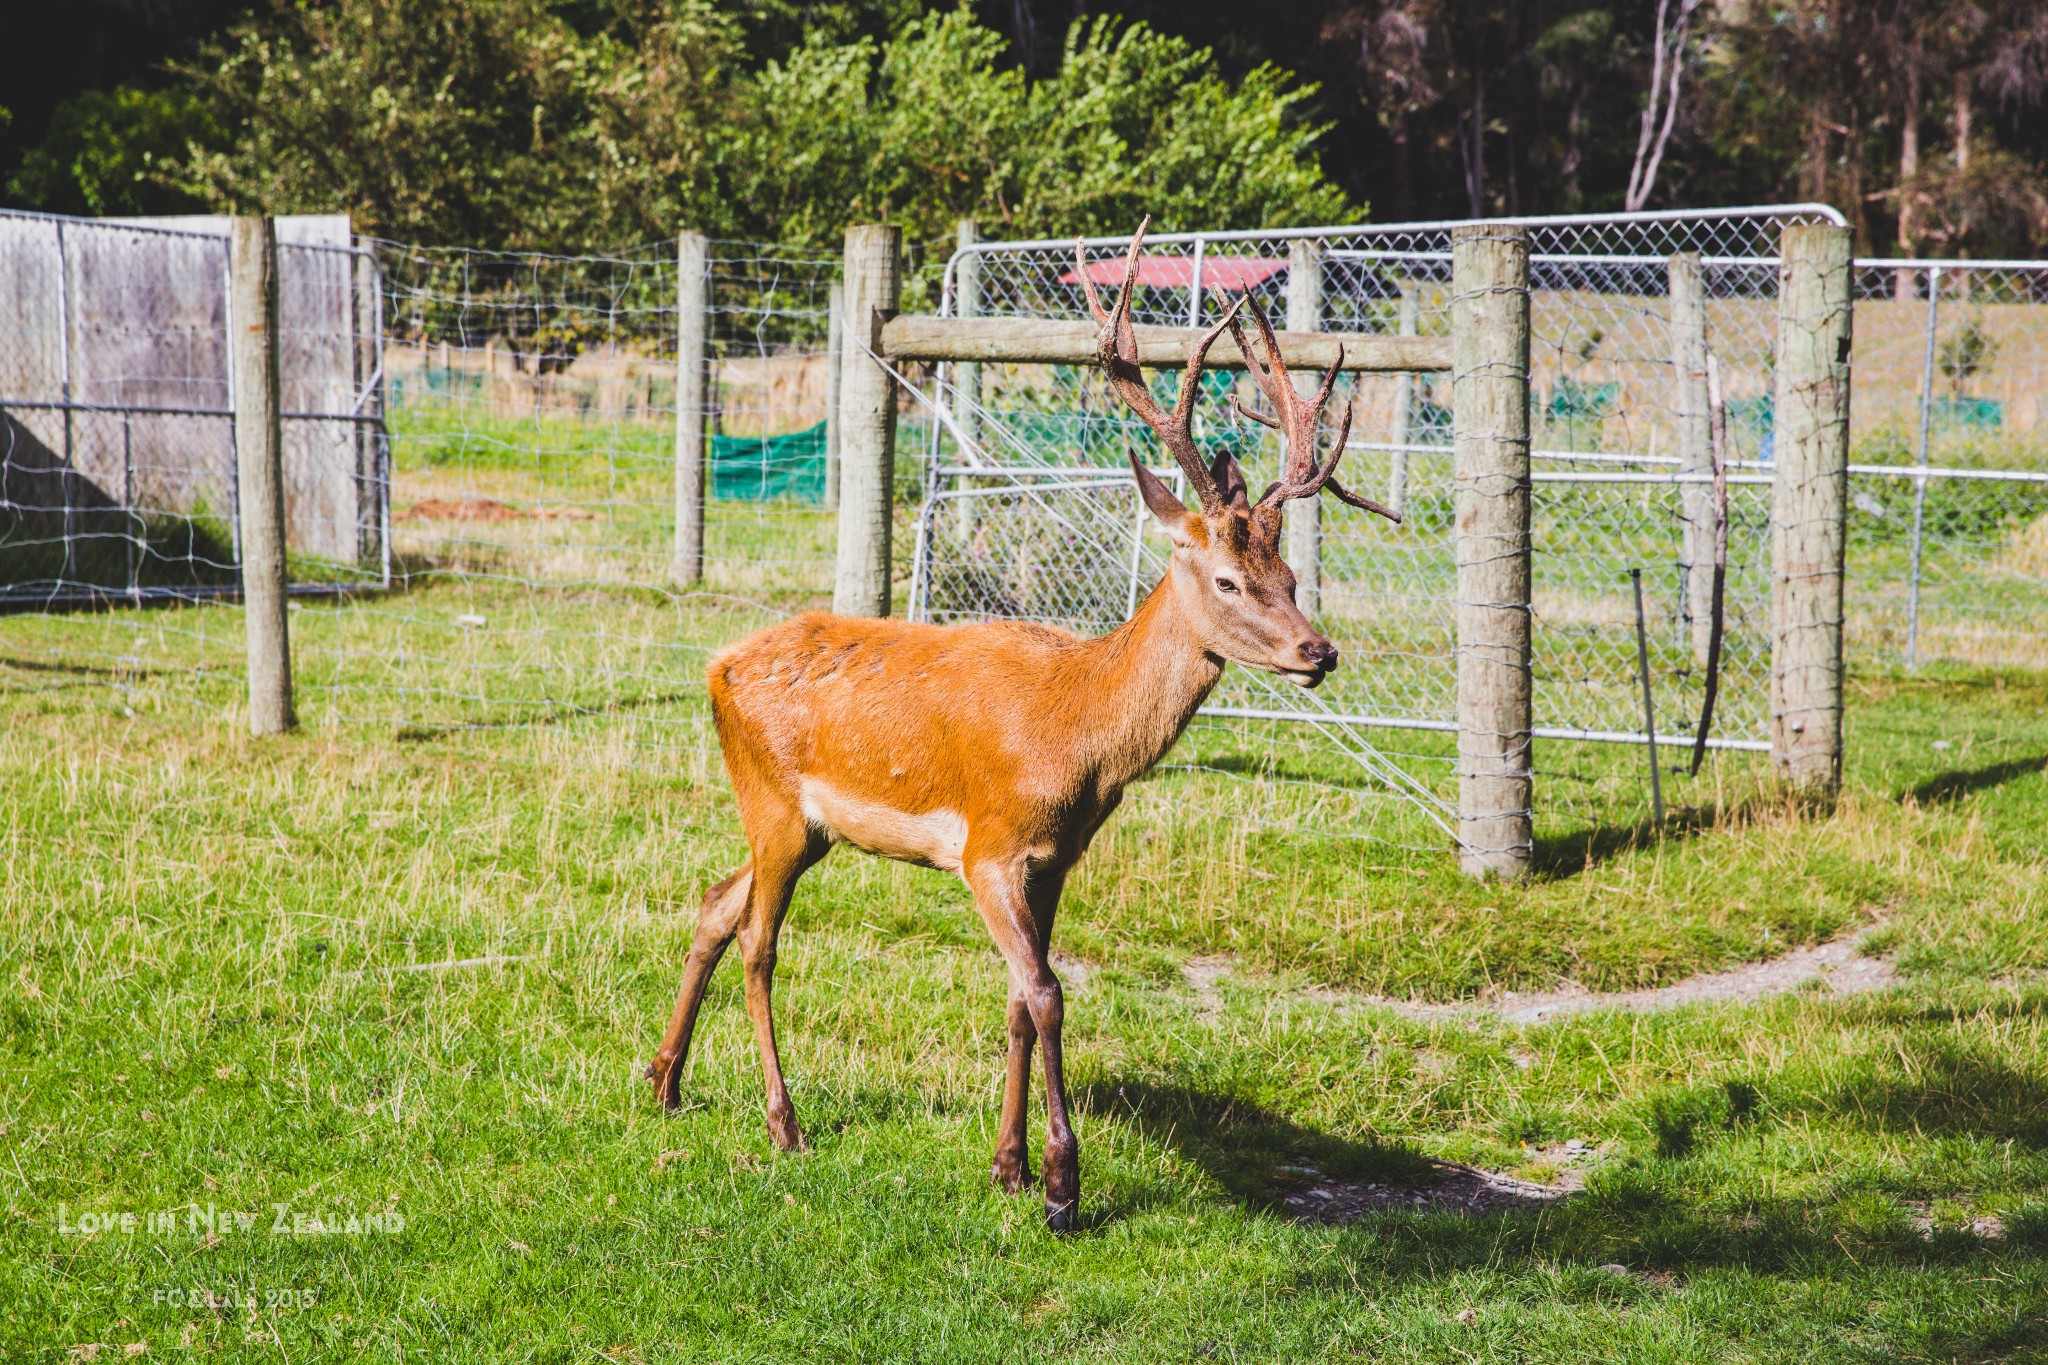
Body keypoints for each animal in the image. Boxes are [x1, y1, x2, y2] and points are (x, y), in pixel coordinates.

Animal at [647, 222, 1400, 1227]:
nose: (1320, 650)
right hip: (771, 799)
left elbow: (1015, 996)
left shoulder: (1054, 859)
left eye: (1289, 576)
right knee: (760, 943)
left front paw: (1005, 1165)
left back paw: (664, 1078)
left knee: (715, 903)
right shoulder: (988, 847)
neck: (1076, 742)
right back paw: (783, 1121)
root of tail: (717, 663)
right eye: (1229, 579)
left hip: (803, 825)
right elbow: (1045, 993)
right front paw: (1059, 1184)